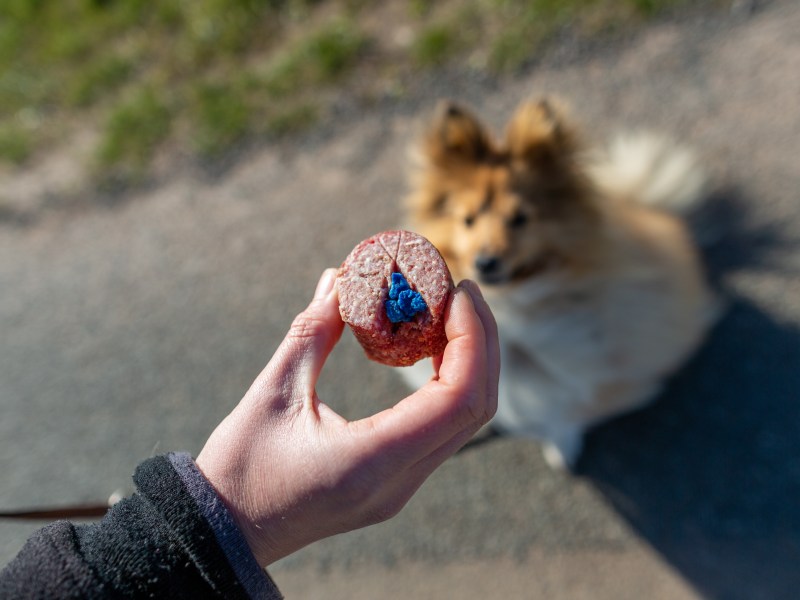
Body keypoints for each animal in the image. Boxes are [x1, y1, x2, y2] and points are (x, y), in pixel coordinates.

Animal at [400, 98, 720, 472]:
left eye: (520, 219)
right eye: (468, 220)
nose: (486, 263)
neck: (513, 303)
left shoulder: (585, 373)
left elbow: (567, 413)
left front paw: (561, 447)